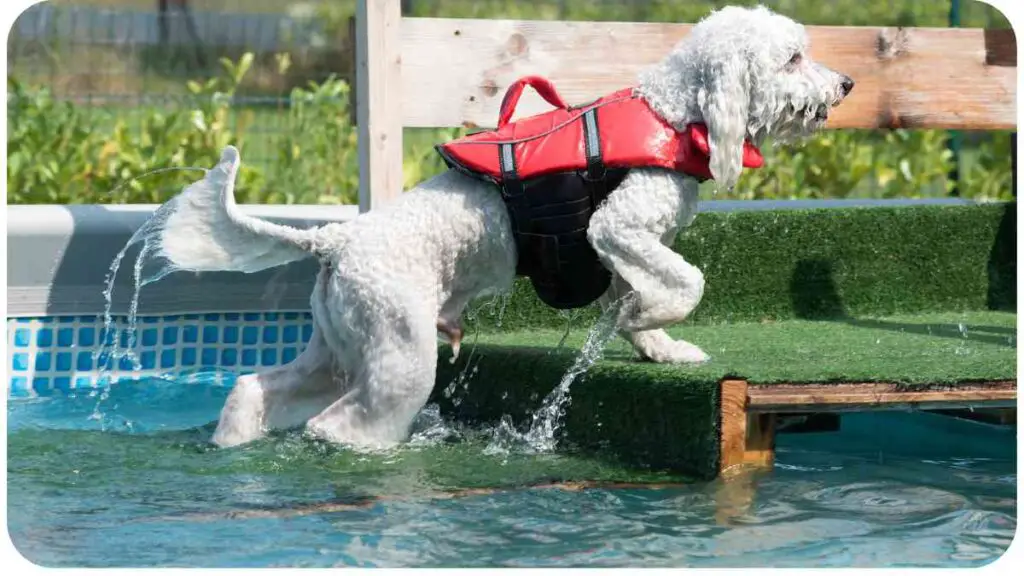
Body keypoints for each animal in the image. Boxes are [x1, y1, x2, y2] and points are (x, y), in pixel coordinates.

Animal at [142, 4, 847, 448]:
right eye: (792, 58)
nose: (844, 83)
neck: (673, 112)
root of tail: (334, 238)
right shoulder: (618, 228)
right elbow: (685, 283)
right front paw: (653, 321)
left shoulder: (630, 251)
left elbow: (642, 296)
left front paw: (659, 346)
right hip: (399, 354)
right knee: (341, 426)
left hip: (337, 348)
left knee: (252, 387)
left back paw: (230, 442)